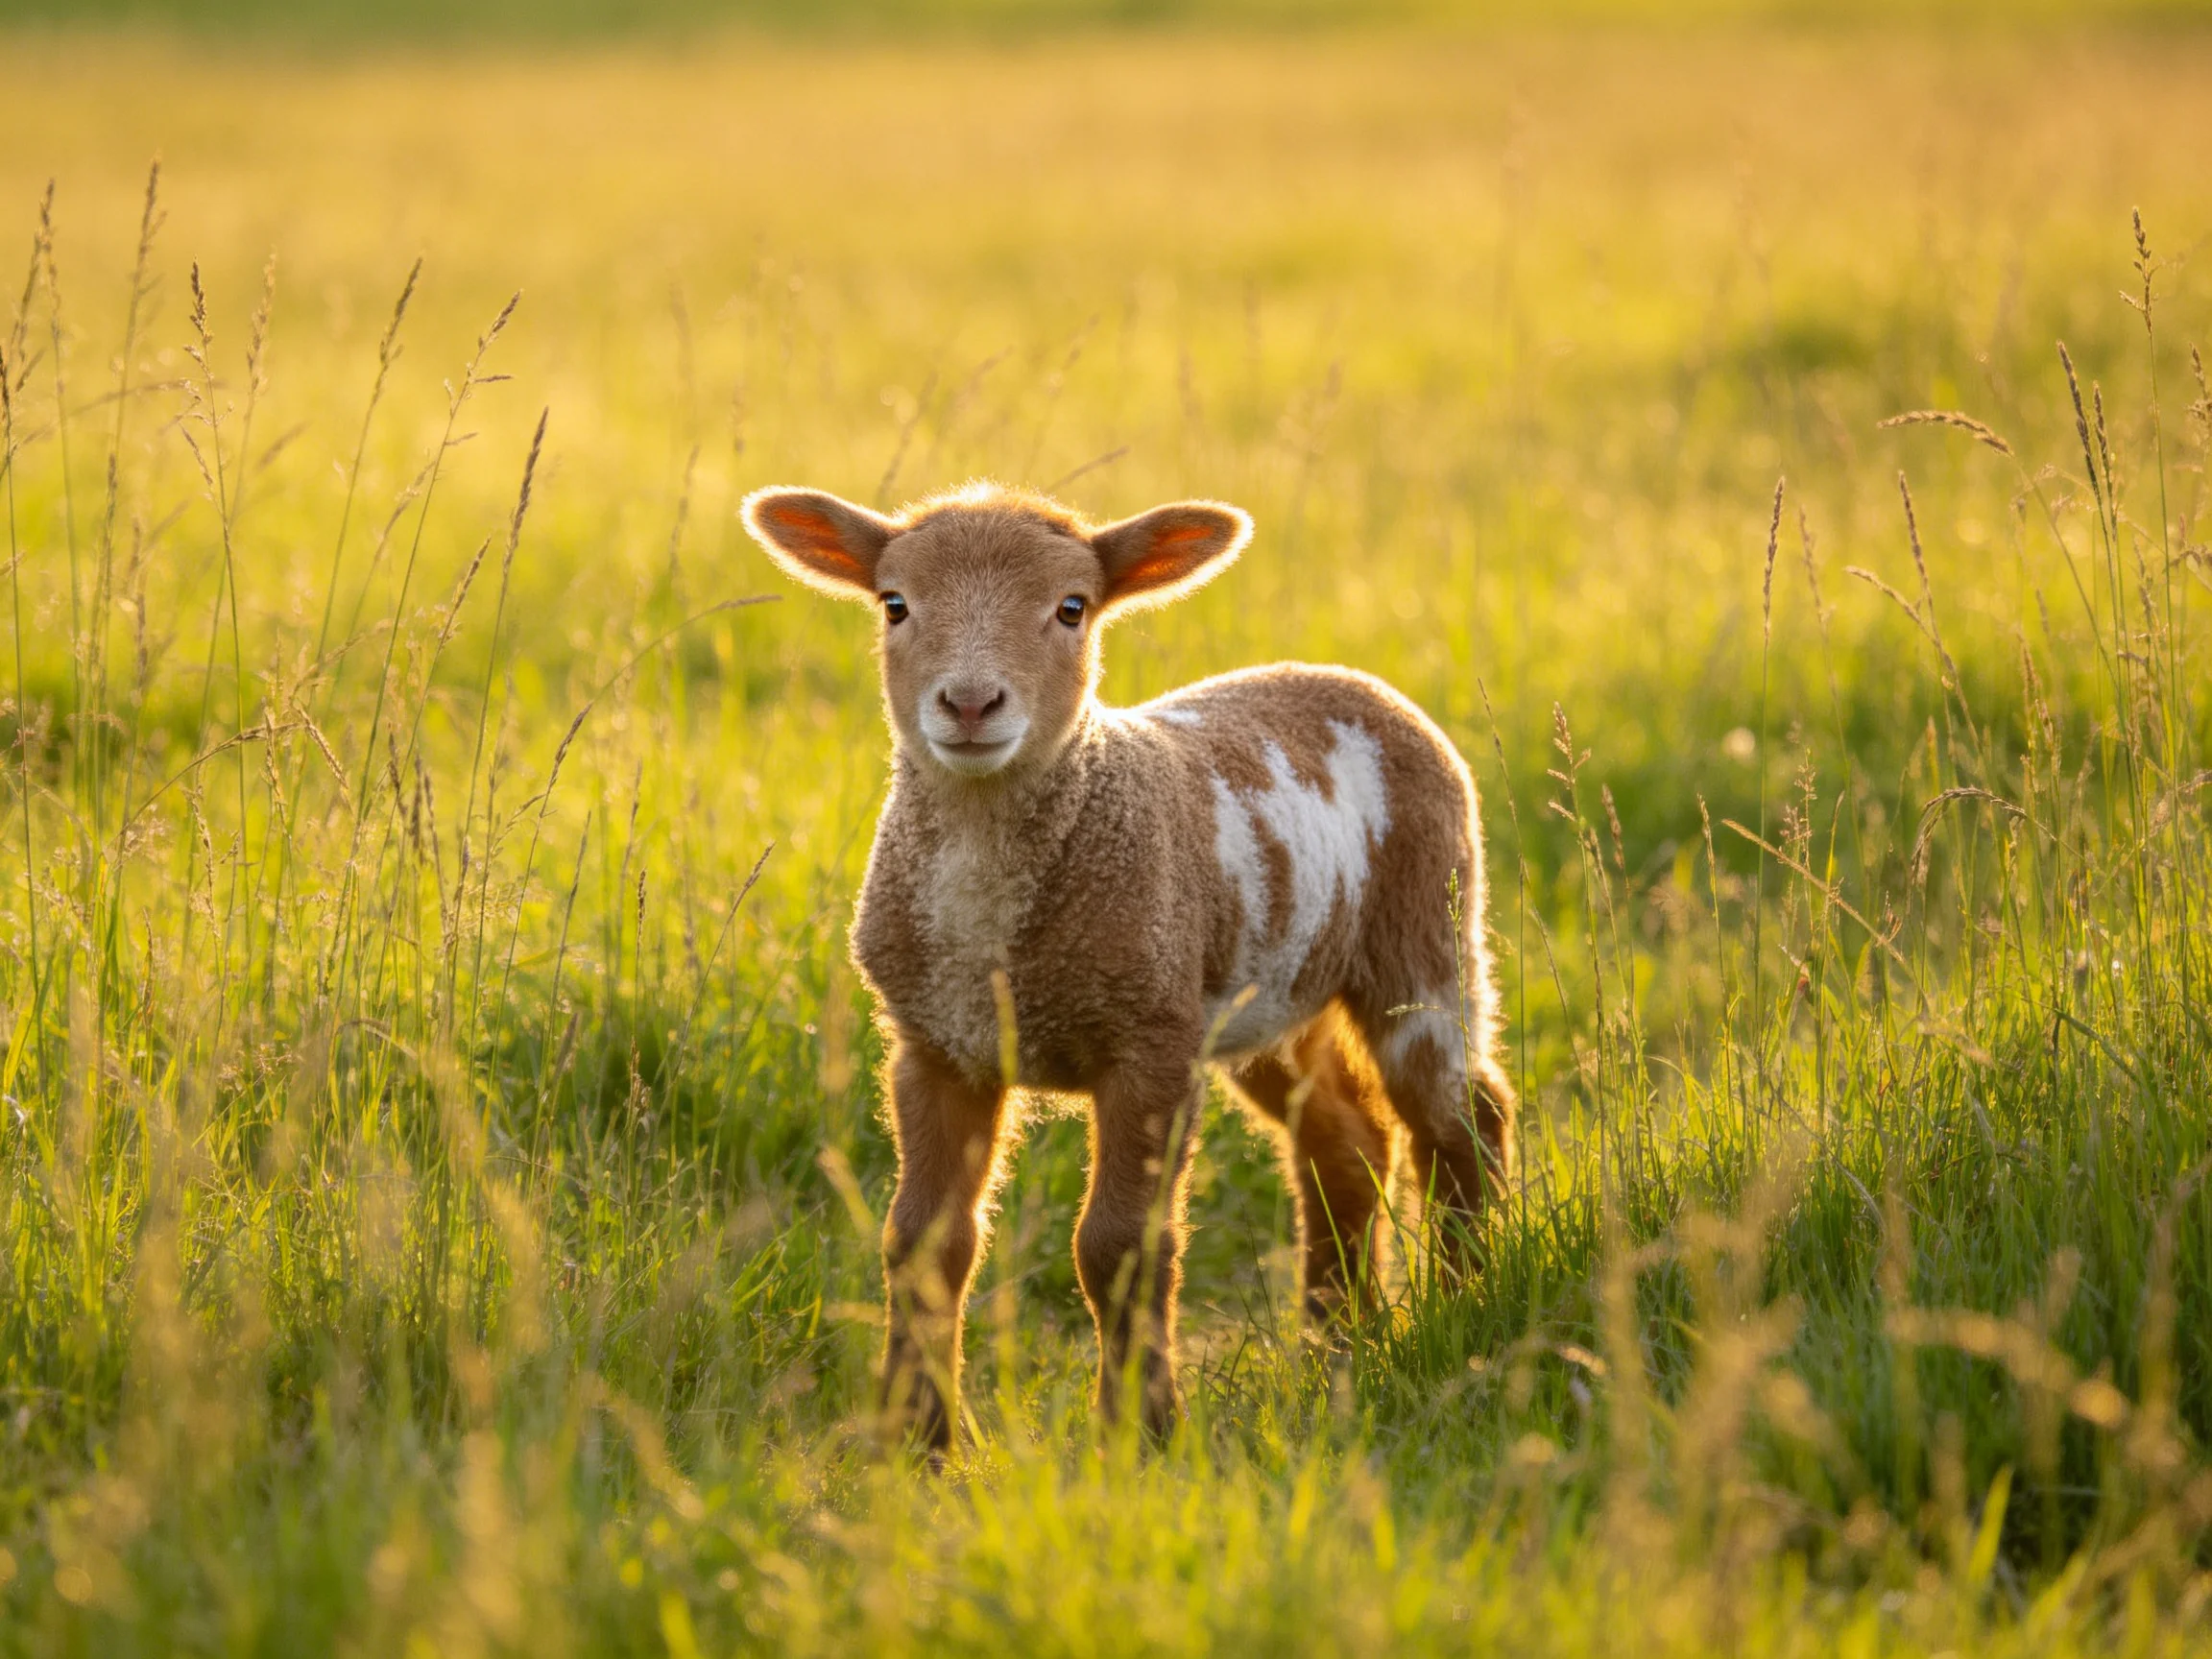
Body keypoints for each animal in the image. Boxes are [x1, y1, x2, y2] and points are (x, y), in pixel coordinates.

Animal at [742, 480, 1516, 1448]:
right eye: (895, 604)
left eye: (1072, 608)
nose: (970, 703)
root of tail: (1346, 677)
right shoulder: (937, 1044)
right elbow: (924, 1242)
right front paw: (919, 1444)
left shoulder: (1145, 1042)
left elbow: (1118, 1246)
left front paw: (1137, 1435)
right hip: (1260, 993)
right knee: (1345, 1143)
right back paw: (1337, 1343)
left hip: (1426, 924)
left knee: (1462, 1117)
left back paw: (1464, 1304)